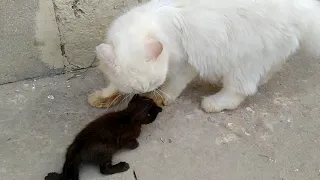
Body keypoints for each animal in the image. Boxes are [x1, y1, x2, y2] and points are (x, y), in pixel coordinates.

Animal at [89, 0, 320, 112]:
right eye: (134, 88)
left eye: (153, 83)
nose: (146, 91)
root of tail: (303, 8)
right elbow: (112, 85)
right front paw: (103, 96)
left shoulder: (185, 63)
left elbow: (174, 84)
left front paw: (162, 97)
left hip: (243, 59)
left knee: (239, 91)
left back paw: (214, 103)